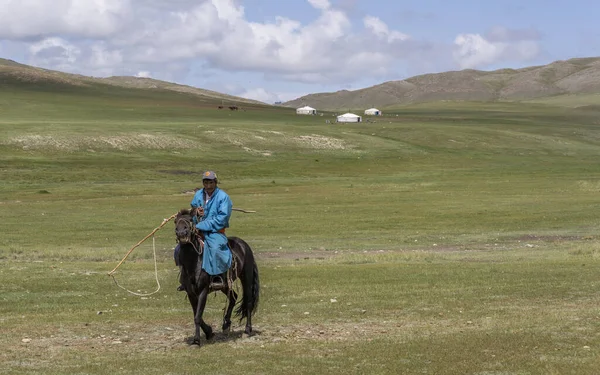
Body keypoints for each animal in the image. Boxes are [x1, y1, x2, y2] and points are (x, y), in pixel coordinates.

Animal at [172, 210, 258, 346]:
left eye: (191, 220)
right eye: (176, 221)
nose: (181, 233)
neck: (194, 262)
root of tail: (244, 245)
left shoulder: (203, 291)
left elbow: (197, 316)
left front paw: (196, 341)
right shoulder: (191, 293)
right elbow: (197, 314)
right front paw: (209, 332)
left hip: (246, 277)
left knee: (248, 302)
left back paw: (247, 330)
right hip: (225, 284)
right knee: (233, 297)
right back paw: (226, 324)